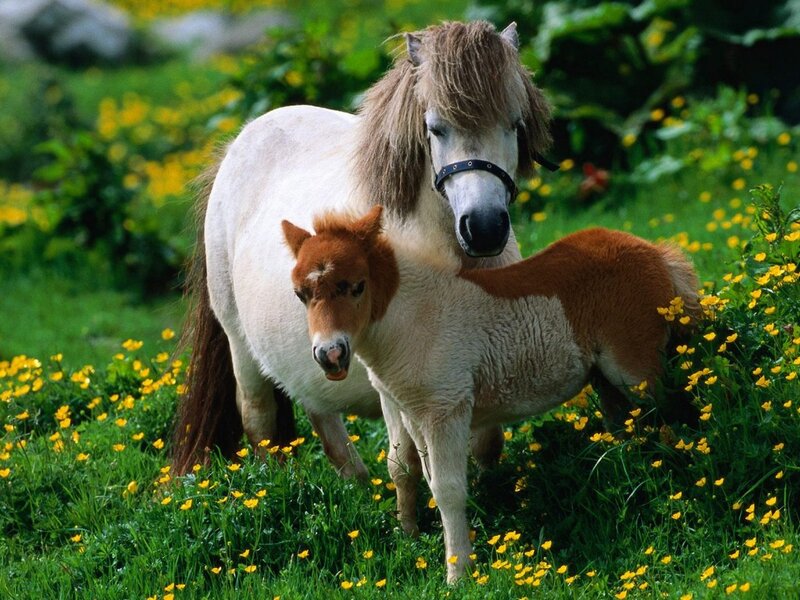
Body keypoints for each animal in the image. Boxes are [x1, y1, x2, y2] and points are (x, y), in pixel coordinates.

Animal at [171, 20, 555, 478]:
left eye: (514, 124)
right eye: (436, 128)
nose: (483, 228)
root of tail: (236, 147)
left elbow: (486, 444)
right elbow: (410, 460)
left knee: (320, 411)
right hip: (240, 345)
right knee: (259, 418)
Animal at [282, 205, 701, 582]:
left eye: (357, 286)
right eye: (300, 294)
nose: (330, 355)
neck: (415, 317)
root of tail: (655, 252)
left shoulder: (447, 410)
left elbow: (449, 489)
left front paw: (458, 574)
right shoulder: (415, 415)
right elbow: (422, 477)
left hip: (636, 370)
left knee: (676, 413)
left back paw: (683, 492)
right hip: (605, 379)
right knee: (627, 427)